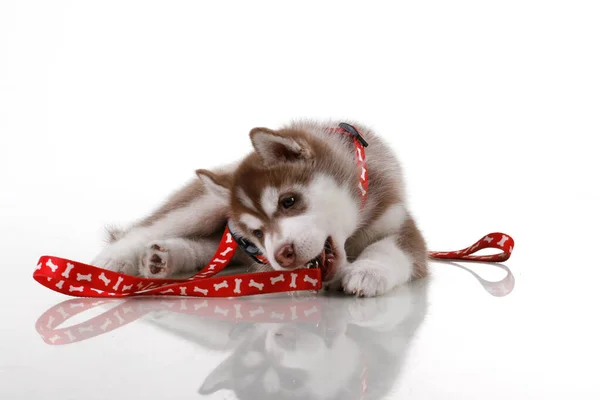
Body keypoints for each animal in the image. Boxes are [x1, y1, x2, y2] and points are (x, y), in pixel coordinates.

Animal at [91, 119, 426, 296]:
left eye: (288, 201)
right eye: (257, 232)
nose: (282, 255)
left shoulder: (399, 222)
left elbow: (387, 248)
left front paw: (368, 271)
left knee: (209, 248)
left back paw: (162, 258)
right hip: (202, 206)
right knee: (147, 228)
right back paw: (114, 260)